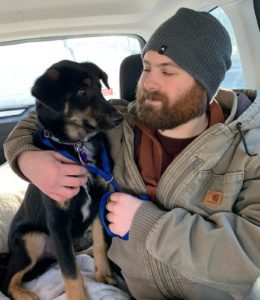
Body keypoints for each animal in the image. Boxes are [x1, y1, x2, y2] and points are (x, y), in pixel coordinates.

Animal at [2, 59, 123, 300]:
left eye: (100, 88)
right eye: (82, 91)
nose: (119, 118)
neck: (78, 147)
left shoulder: (98, 202)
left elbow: (100, 243)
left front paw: (103, 275)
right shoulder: (57, 222)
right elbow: (70, 272)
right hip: (32, 238)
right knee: (6, 281)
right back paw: (25, 294)